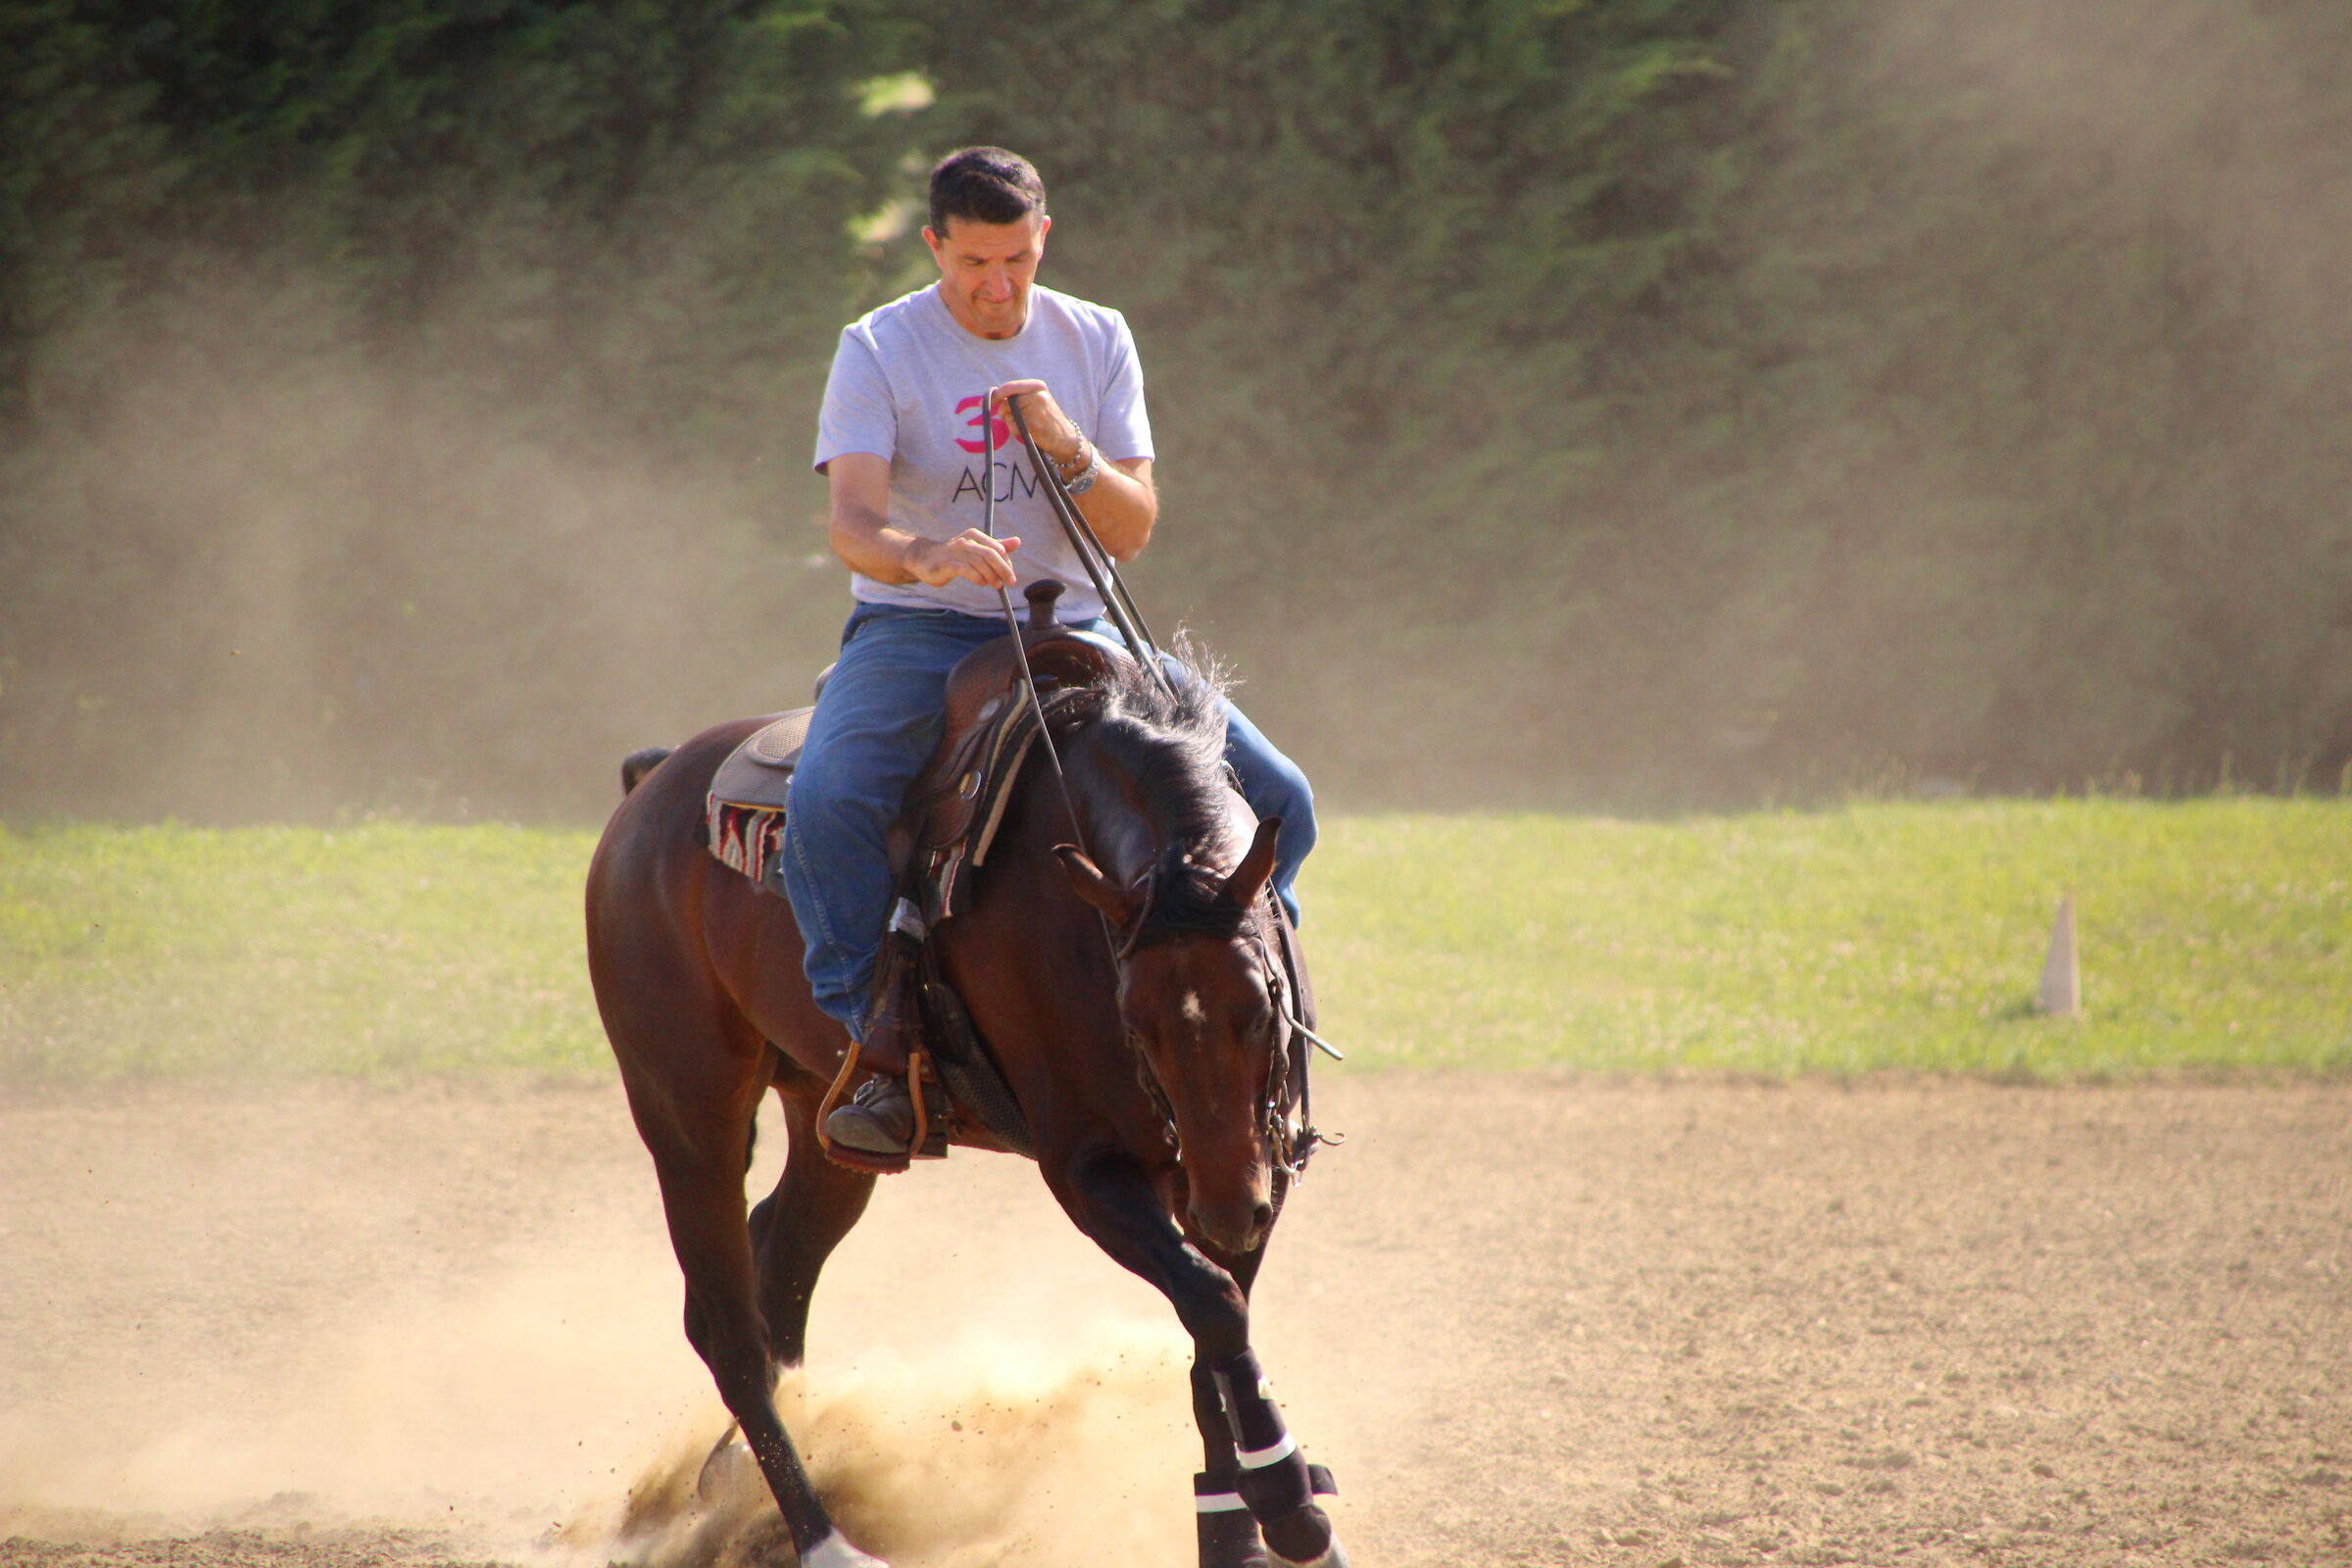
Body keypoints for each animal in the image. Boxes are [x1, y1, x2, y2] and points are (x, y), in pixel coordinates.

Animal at [583, 646, 1348, 1568]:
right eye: (1135, 1020)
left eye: (1263, 1004)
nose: (1229, 1206)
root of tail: (651, 787)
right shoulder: (1088, 1171)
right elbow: (1211, 1303)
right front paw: (1290, 1502)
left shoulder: (1254, 1164)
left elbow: (1213, 1333)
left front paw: (1238, 1521)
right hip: (686, 1112)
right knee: (727, 1326)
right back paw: (822, 1539)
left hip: (826, 1127)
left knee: (781, 1269)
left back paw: (728, 1479)